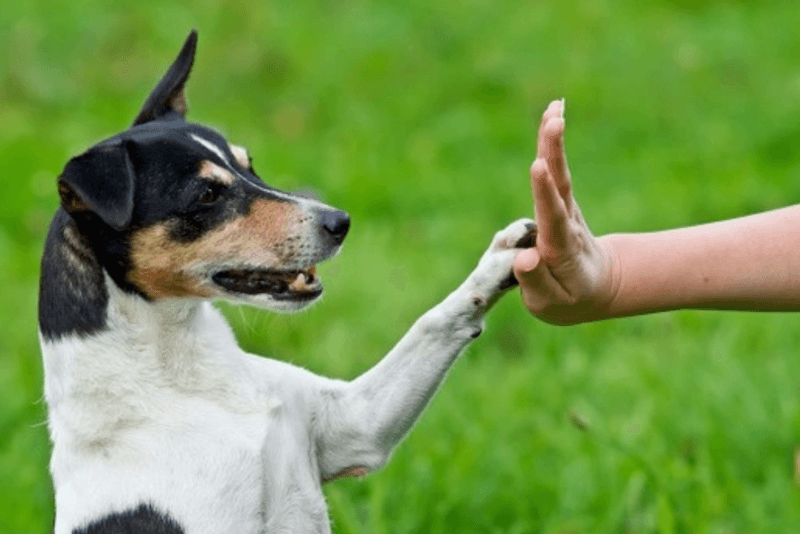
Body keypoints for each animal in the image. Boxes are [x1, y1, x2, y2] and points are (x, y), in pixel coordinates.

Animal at [39, 31, 536, 532]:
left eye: (249, 165)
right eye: (207, 194)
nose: (340, 222)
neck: (186, 376)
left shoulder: (355, 426)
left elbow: (434, 322)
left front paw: (502, 259)